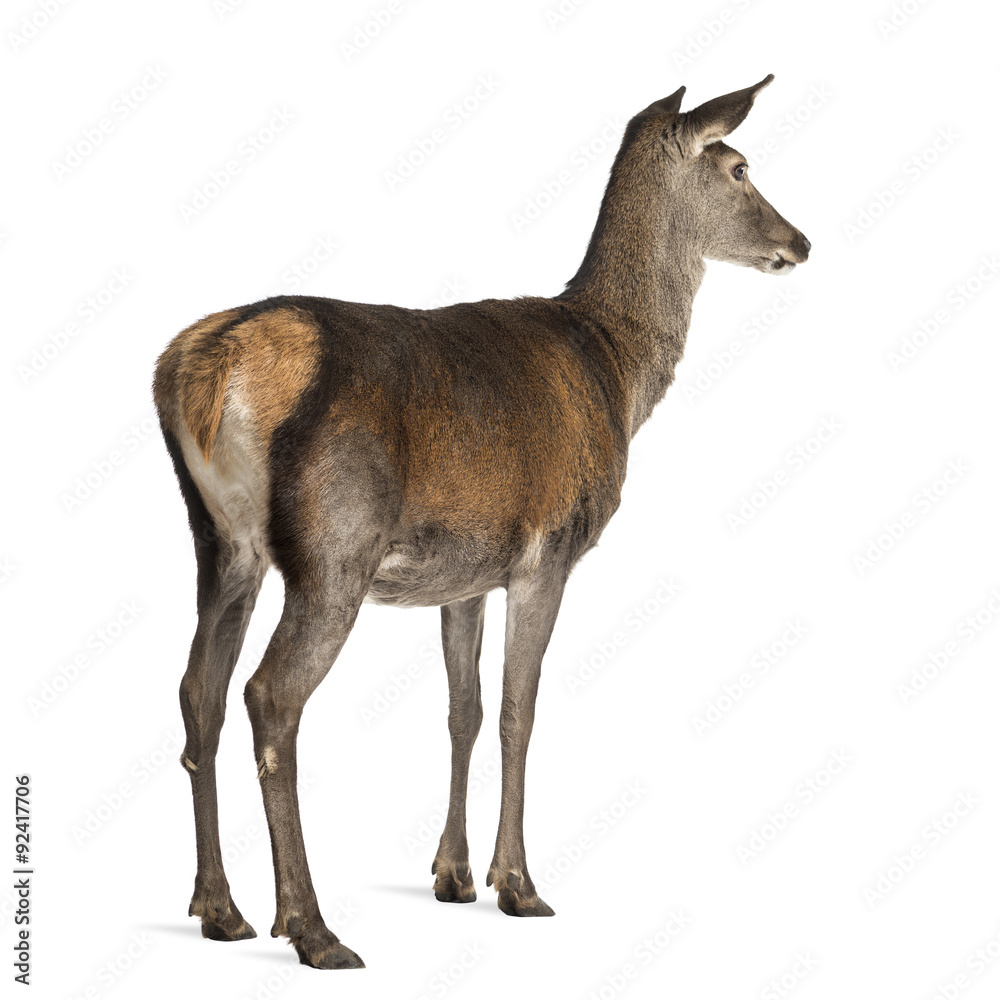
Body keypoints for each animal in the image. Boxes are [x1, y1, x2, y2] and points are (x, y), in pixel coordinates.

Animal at [152, 74, 809, 970]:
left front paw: (453, 874)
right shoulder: (548, 552)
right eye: (740, 168)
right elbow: (516, 709)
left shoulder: (464, 572)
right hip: (334, 544)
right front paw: (519, 884)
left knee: (200, 691)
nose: (801, 241)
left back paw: (220, 909)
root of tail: (206, 369)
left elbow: (461, 709)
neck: (617, 371)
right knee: (270, 695)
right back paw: (312, 927)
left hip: (221, 539)